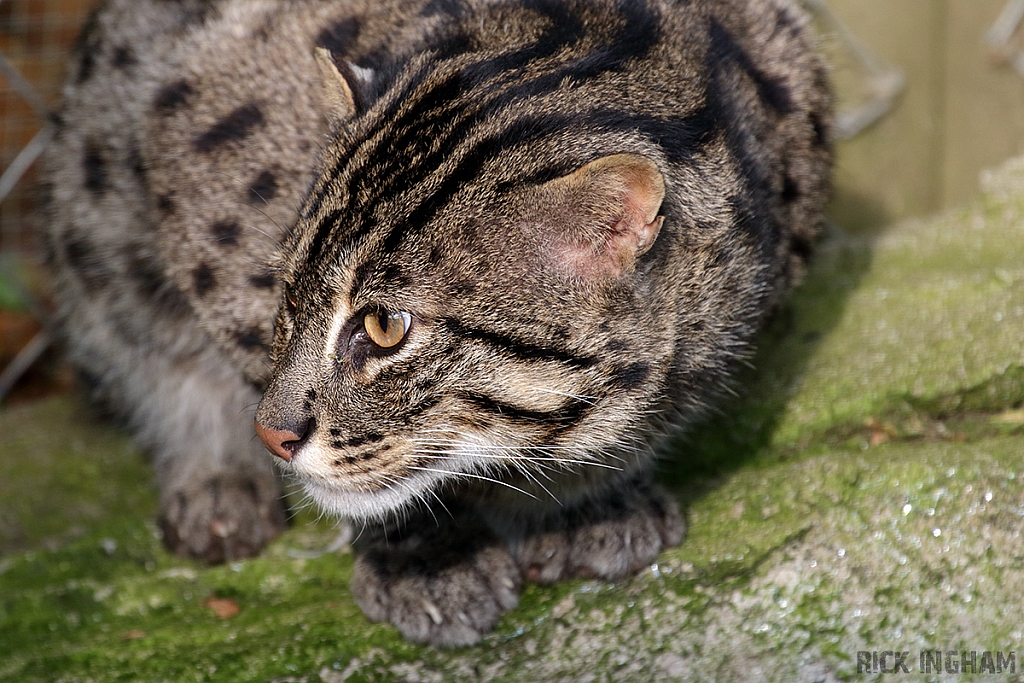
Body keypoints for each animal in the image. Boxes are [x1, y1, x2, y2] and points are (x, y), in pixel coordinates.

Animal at [44, 0, 831, 647]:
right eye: (289, 298)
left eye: (386, 326)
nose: (272, 436)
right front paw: (423, 549)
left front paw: (584, 501)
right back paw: (217, 480)